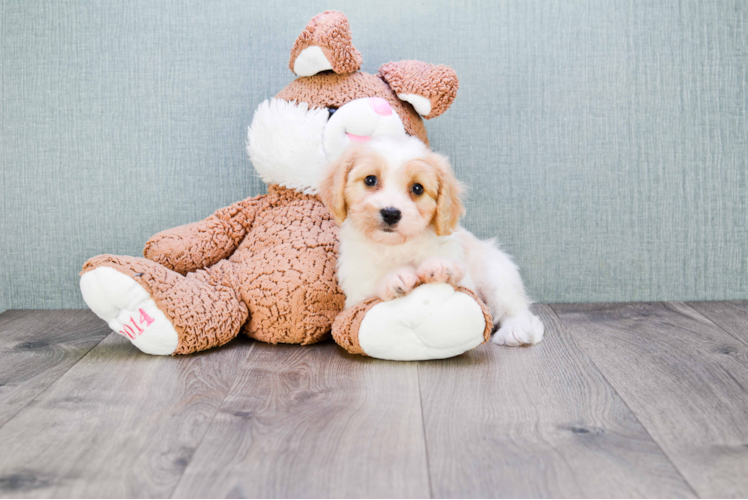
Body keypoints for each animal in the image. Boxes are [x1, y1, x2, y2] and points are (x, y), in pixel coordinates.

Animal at [320, 137, 544, 348]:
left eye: (418, 188)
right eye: (370, 180)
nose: (391, 213)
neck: (396, 246)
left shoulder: (464, 278)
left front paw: (440, 267)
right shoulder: (356, 286)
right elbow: (372, 281)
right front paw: (395, 277)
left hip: (496, 276)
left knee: (518, 309)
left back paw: (516, 330)